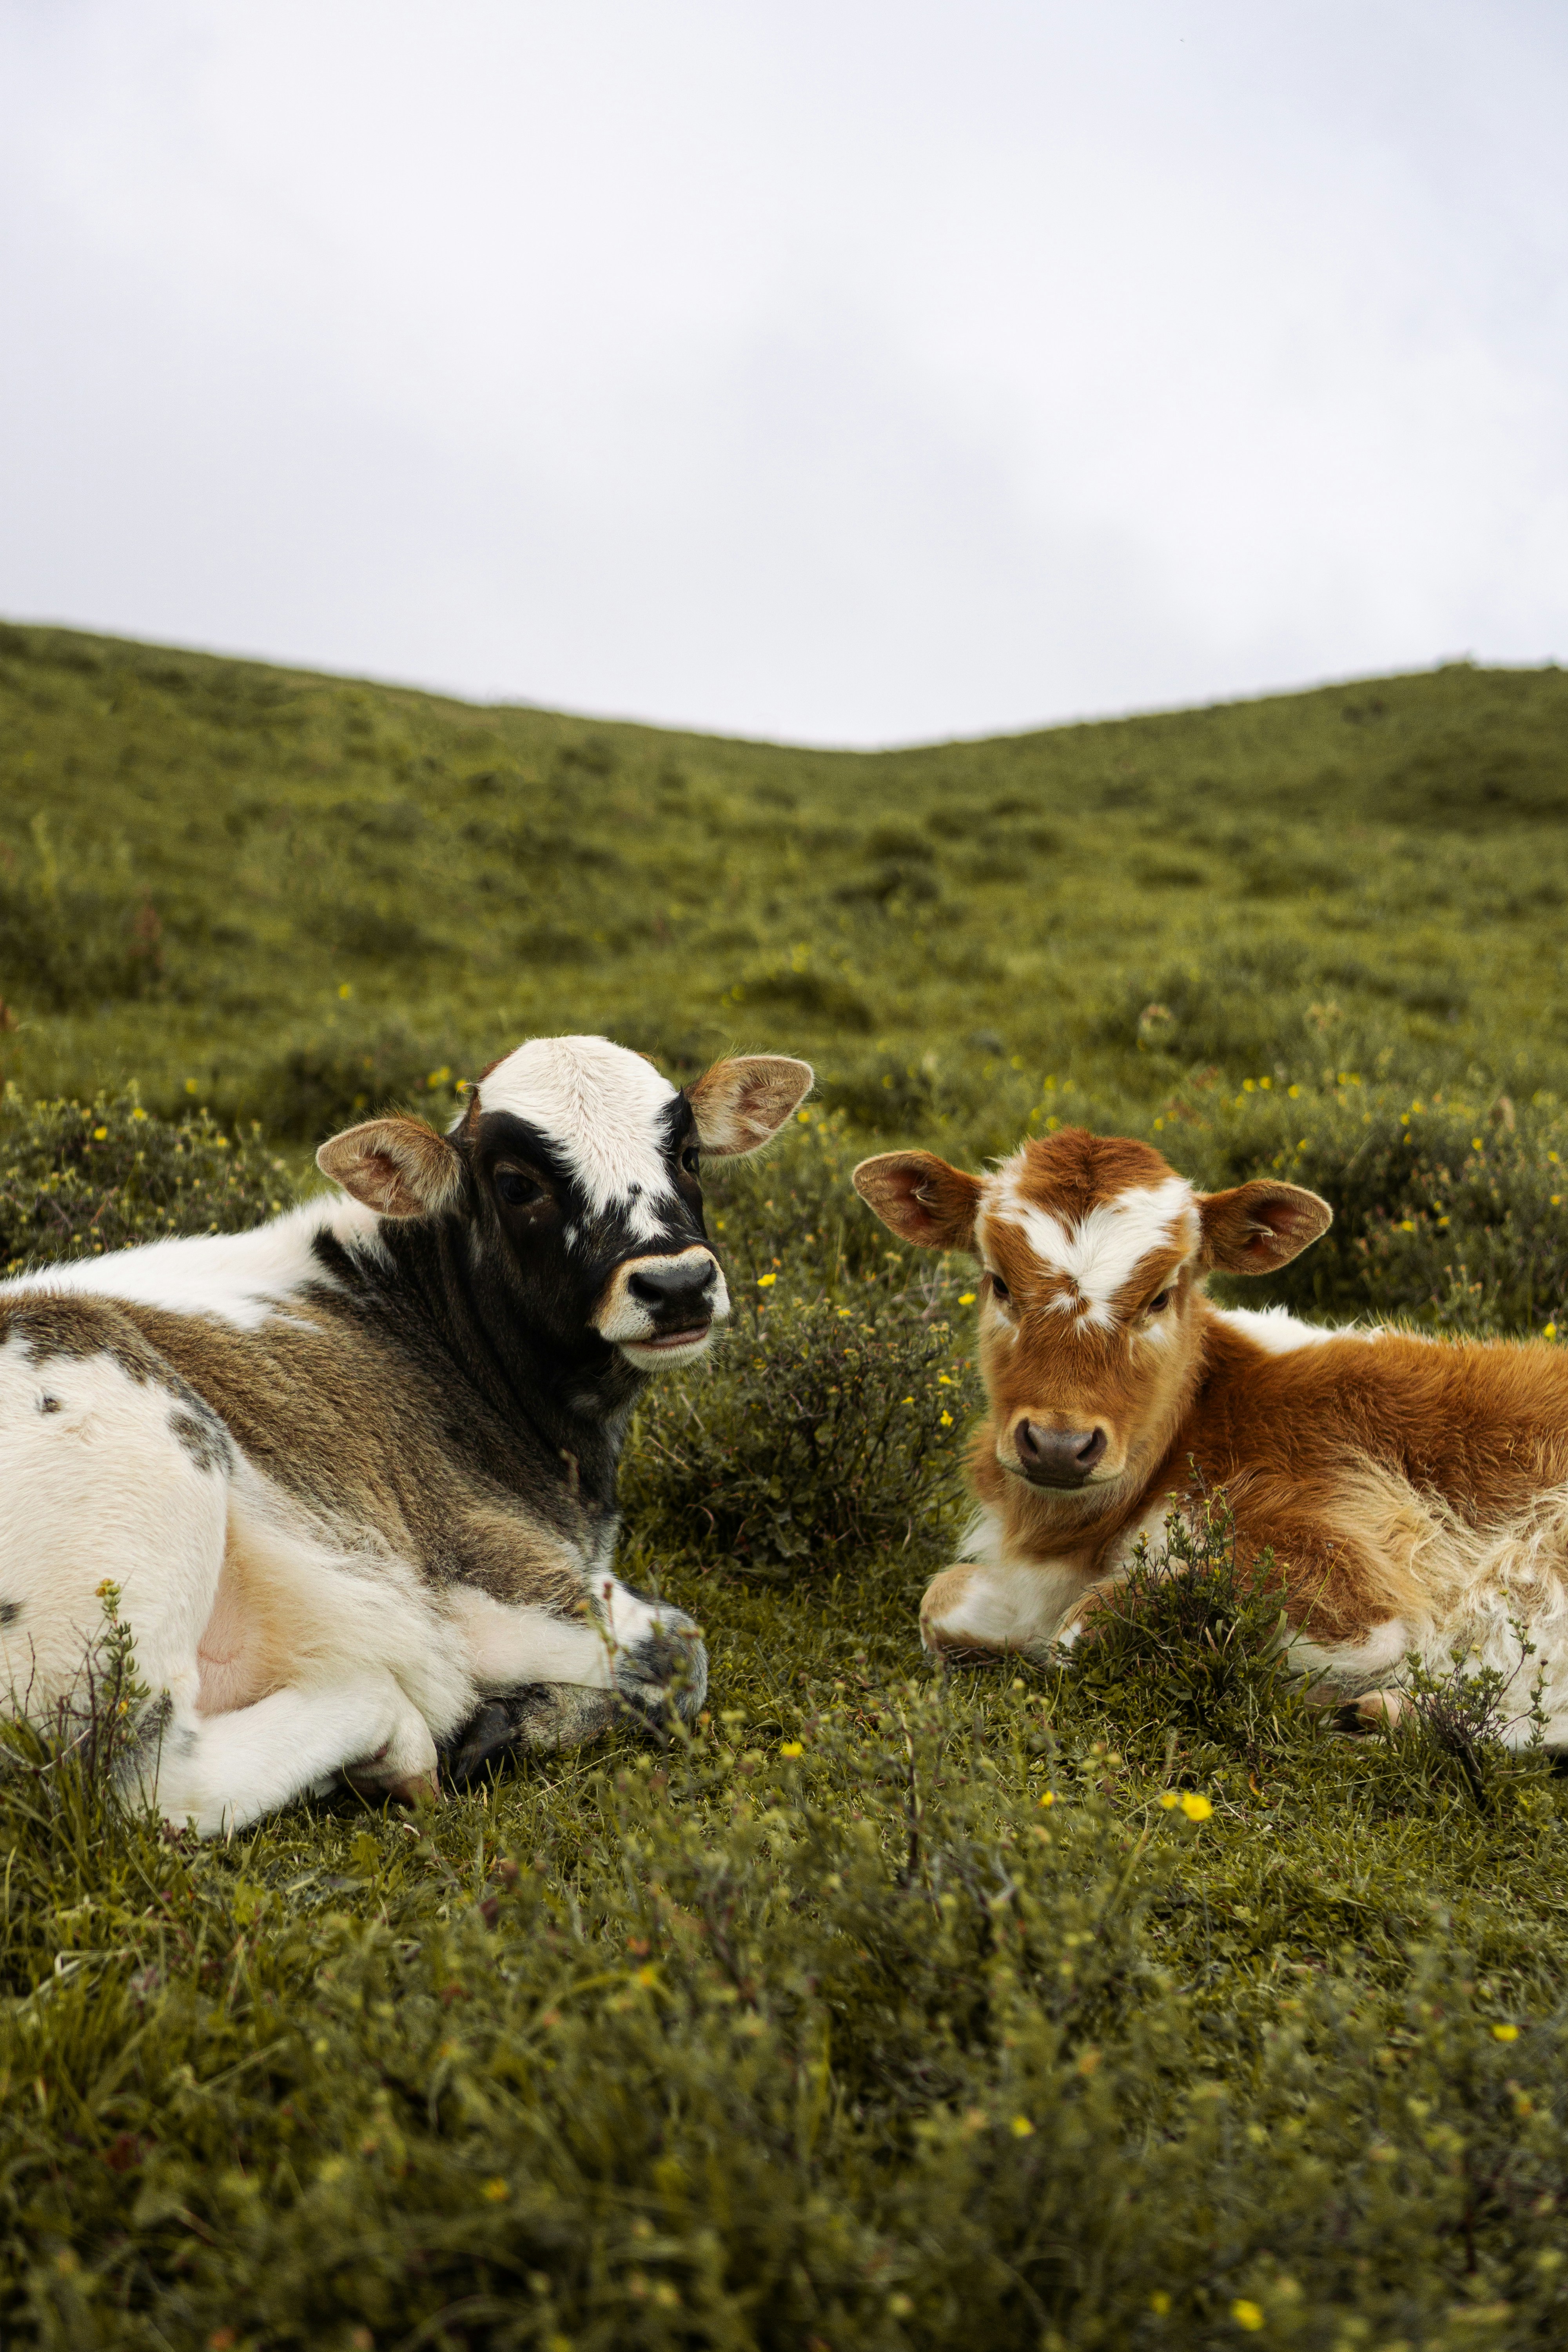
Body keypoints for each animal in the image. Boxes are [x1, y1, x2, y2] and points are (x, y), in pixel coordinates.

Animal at [0, 1036, 812, 1832]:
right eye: (516, 1184)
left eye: (689, 1155)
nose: (677, 1286)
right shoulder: (486, 1579)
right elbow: (681, 1654)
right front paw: (502, 1725)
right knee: (149, 1781)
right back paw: (396, 1739)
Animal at [854, 1125, 1568, 1746]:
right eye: (999, 1282)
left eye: (1160, 1296)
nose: (1058, 1445)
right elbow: (940, 1600)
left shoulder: (1358, 1586)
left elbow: (1079, 1632)